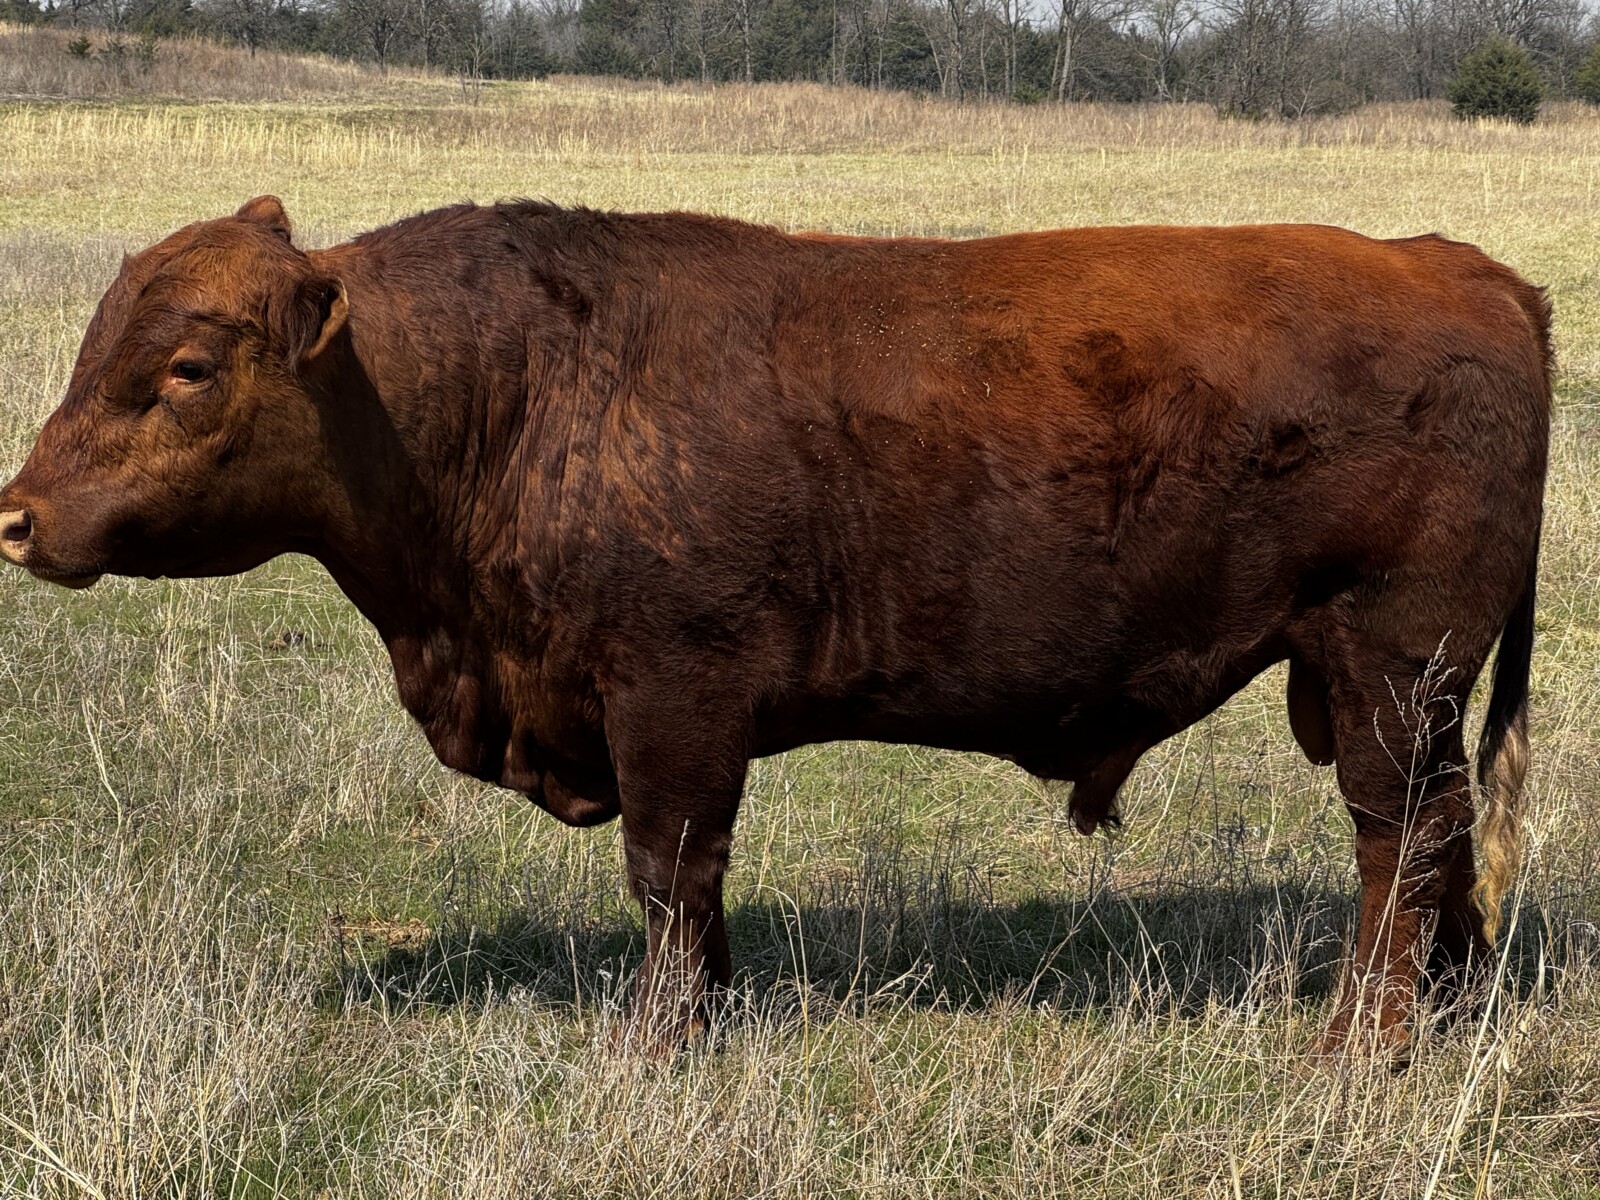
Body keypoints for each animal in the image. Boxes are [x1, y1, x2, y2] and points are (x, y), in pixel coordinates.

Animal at [0, 196, 1549, 1057]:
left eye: (188, 367)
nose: (17, 516)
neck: (518, 389)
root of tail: (1464, 270)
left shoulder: (673, 705)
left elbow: (670, 873)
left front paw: (659, 1043)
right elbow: (692, 890)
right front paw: (712, 1015)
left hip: (1385, 672)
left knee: (1397, 842)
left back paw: (1360, 1044)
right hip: (1392, 689)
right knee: (1442, 841)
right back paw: (1447, 1020)